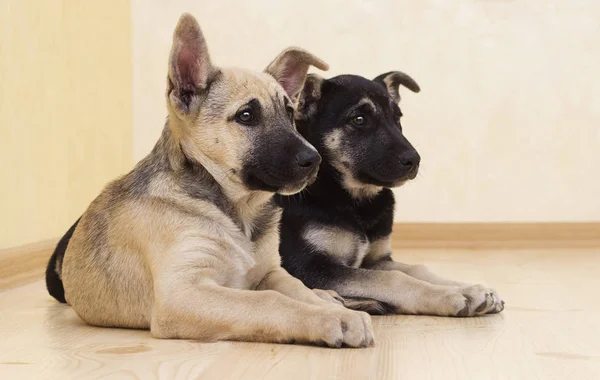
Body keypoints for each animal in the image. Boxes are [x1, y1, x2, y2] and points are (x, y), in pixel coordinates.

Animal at [59, 14, 376, 348]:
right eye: (246, 115)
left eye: (290, 112)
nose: (314, 160)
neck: (237, 211)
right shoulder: (183, 293)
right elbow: (270, 301)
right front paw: (331, 319)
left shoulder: (271, 273)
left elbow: (298, 290)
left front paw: (334, 308)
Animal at [276, 72, 502, 316]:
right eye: (359, 119)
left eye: (397, 118)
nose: (414, 160)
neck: (353, 199)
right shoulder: (308, 266)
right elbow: (394, 278)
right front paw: (450, 296)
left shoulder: (376, 260)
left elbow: (416, 269)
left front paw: (470, 289)